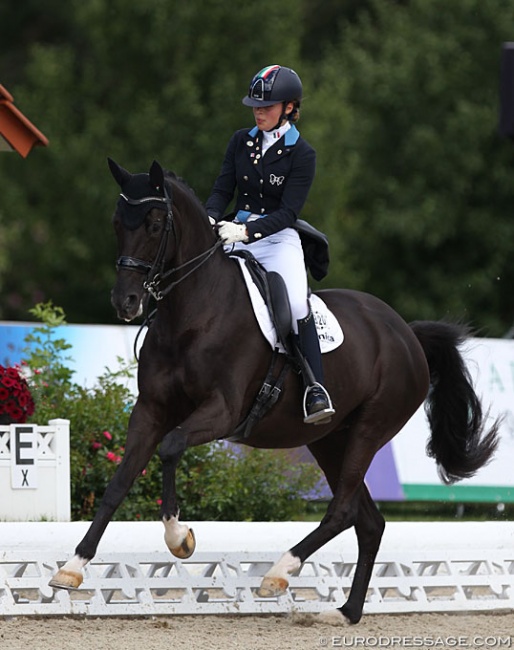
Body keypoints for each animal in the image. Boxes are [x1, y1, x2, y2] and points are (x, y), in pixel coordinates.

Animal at [49, 158, 496, 624]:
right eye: (118, 223)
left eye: (155, 224)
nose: (126, 302)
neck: (192, 312)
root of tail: (405, 333)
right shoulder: (151, 410)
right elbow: (119, 482)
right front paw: (71, 569)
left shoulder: (222, 411)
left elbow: (170, 448)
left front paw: (179, 538)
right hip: (329, 440)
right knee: (368, 520)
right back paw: (346, 611)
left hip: (370, 430)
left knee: (342, 510)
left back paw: (279, 573)